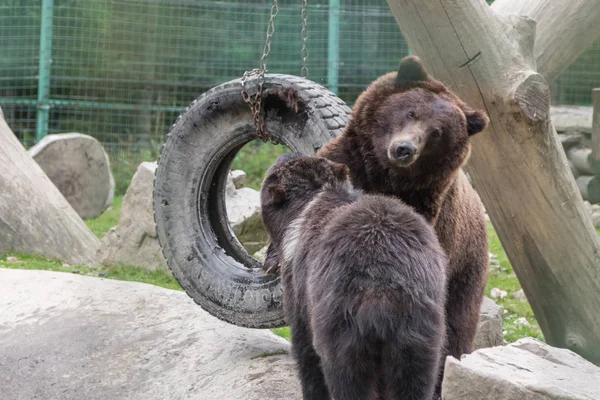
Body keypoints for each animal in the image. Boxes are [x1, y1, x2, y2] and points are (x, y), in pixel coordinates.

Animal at [260, 152, 448, 400]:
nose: (284, 153)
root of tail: (381, 293)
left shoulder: (300, 298)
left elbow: (306, 358)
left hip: (343, 336)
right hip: (419, 339)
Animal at [312, 56, 490, 388]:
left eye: (438, 132)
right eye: (411, 112)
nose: (404, 149)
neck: (386, 177)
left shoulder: (427, 211)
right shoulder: (350, 160)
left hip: (466, 268)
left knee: (456, 326)